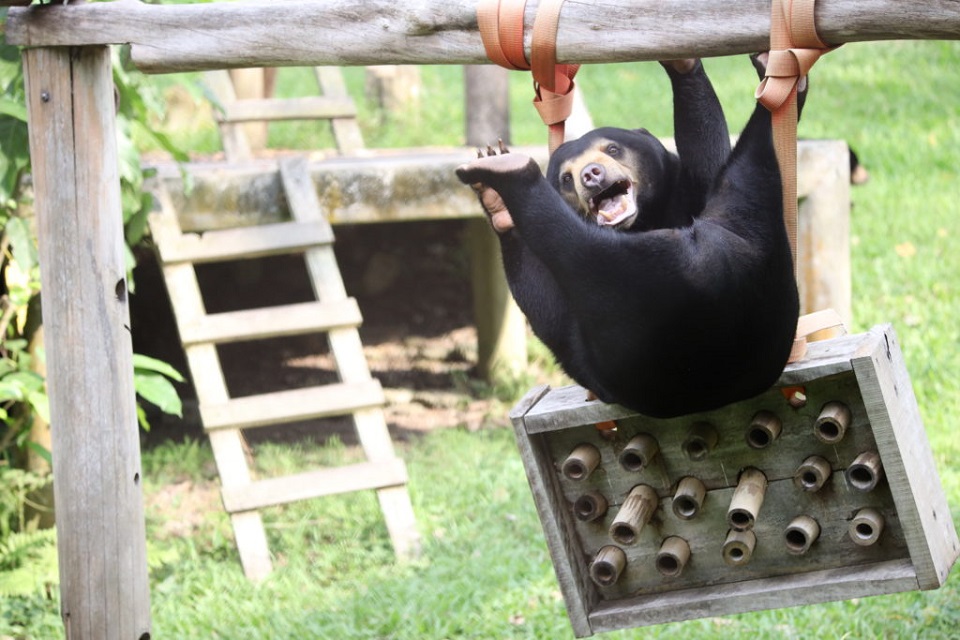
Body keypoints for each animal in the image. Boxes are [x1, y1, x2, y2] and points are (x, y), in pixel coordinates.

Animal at [455, 56, 801, 419]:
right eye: (566, 178)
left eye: (612, 149)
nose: (591, 175)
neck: (640, 222)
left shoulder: (683, 192)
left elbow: (708, 164)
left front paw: (682, 63)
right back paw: (499, 188)